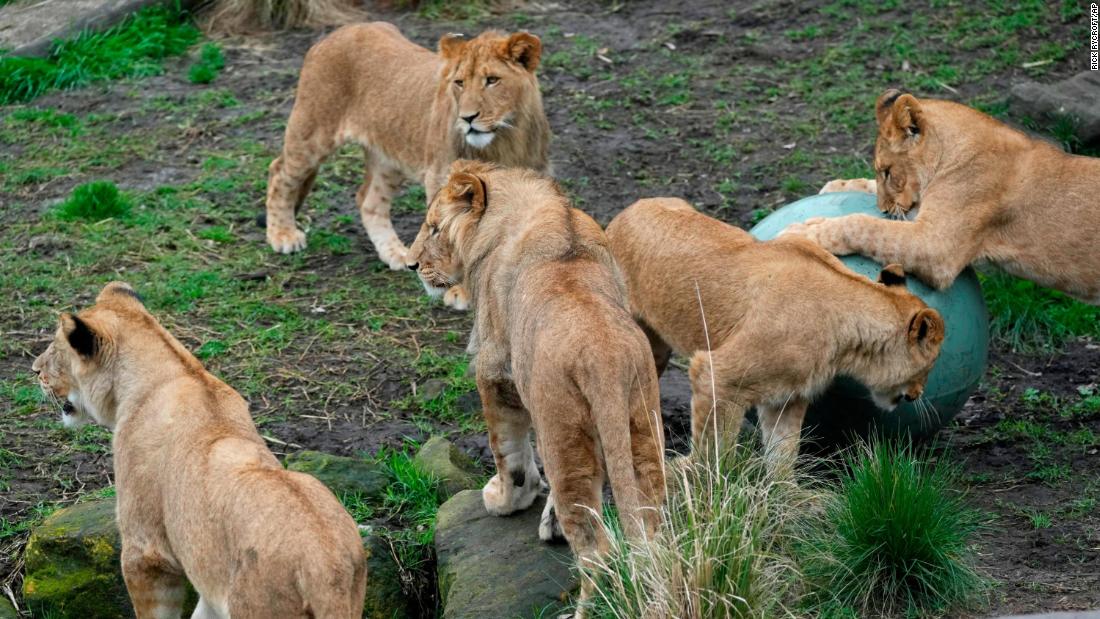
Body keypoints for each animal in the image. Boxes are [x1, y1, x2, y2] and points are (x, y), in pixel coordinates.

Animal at [30, 283, 363, 619]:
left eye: (55, 349)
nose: (34, 370)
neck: (180, 371)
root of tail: (327, 569)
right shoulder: (209, 583)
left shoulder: (147, 550)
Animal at [265, 24, 550, 290]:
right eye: (459, 83)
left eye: (492, 80)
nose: (467, 118)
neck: (505, 137)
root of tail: (337, 32)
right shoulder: (440, 177)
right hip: (312, 132)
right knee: (278, 171)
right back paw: (283, 236)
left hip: (388, 157)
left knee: (369, 201)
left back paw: (394, 253)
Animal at [404, 159, 660, 611]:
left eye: (434, 229)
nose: (412, 265)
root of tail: (605, 358)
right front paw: (548, 521)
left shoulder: (494, 368)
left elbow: (509, 452)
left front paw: (505, 500)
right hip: (640, 429)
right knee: (654, 537)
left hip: (564, 436)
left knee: (598, 551)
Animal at [602, 199, 946, 470]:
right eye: (929, 367)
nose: (919, 394)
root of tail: (623, 214)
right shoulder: (717, 374)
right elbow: (714, 449)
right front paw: (702, 488)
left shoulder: (787, 397)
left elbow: (783, 451)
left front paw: (788, 500)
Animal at [787, 89, 1100, 305]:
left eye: (888, 171)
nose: (884, 208)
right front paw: (836, 186)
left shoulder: (937, 246)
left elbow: (864, 225)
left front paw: (803, 233)